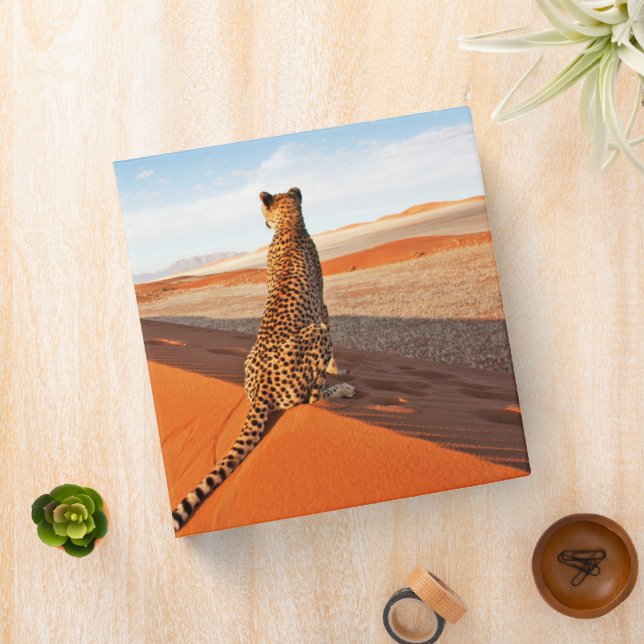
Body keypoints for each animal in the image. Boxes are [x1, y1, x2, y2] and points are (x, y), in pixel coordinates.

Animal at [172, 187, 355, 532]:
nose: (263, 224)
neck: (290, 225)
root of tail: (261, 389)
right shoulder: (323, 310)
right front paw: (339, 369)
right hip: (316, 334)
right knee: (310, 400)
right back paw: (342, 391)